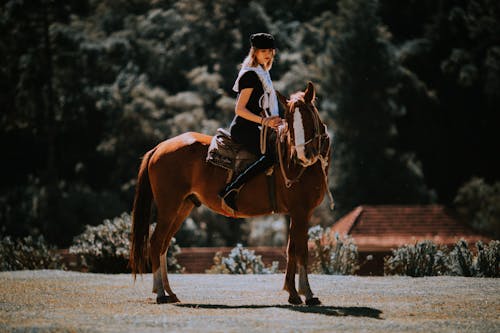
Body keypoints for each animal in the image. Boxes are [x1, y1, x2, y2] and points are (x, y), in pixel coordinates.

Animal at [130, 81, 332, 304]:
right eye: (290, 121)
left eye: (308, 117)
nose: (303, 156)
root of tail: (158, 148)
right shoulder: (301, 212)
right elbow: (302, 251)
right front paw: (308, 294)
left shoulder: (296, 214)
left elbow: (291, 249)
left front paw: (293, 293)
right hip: (169, 207)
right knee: (156, 242)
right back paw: (160, 293)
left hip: (182, 207)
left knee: (164, 245)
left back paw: (169, 292)